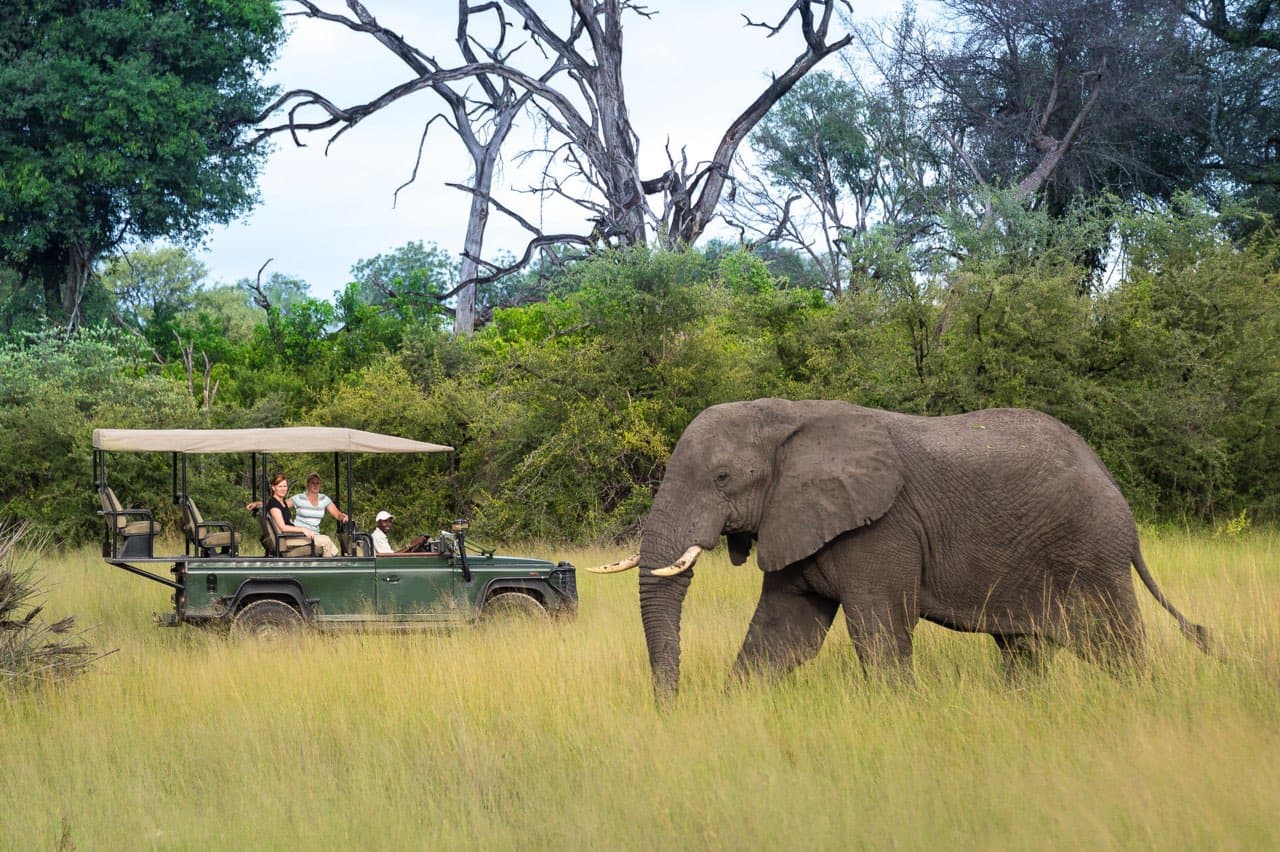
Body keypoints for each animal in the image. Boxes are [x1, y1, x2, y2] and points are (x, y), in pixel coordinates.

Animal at [592, 398, 1211, 702]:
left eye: (721, 478)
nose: (671, 709)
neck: (787, 418)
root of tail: (1115, 490)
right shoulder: (800, 517)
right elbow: (782, 635)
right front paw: (731, 713)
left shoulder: (882, 529)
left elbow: (879, 632)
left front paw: (899, 715)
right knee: (1024, 650)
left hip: (1089, 553)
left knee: (1115, 644)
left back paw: (1143, 702)